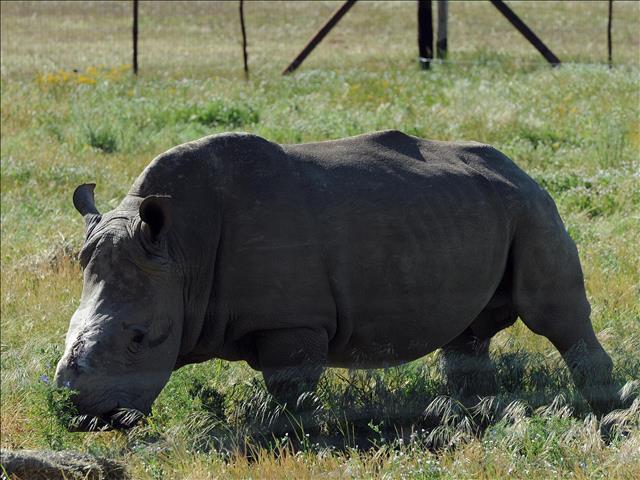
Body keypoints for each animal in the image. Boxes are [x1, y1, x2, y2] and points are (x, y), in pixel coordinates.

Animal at [55, 130, 621, 430]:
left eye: (140, 338)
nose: (80, 413)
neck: (179, 251)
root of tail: (522, 168)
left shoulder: (293, 322)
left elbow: (289, 386)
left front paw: (288, 433)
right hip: (481, 208)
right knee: (468, 332)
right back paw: (465, 416)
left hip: (531, 207)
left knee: (554, 315)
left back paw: (605, 407)